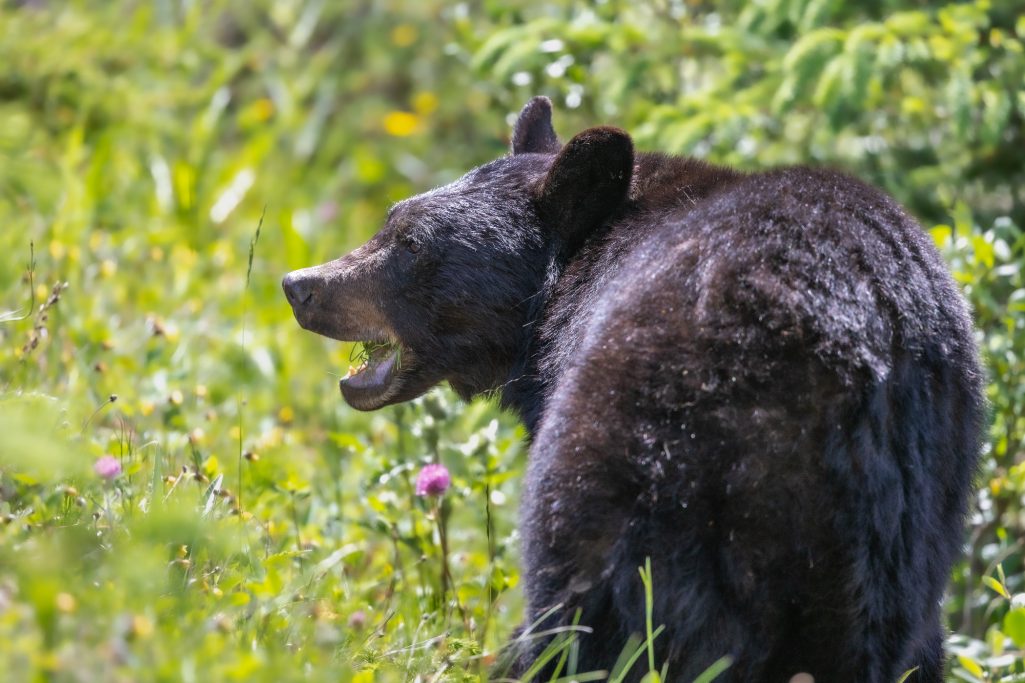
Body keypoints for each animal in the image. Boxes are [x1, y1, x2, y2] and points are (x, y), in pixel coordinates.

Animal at [282, 96, 984, 680]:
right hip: (908, 517)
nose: (300, 284)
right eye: (391, 220)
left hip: (641, 455)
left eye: (411, 244)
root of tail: (839, 339)